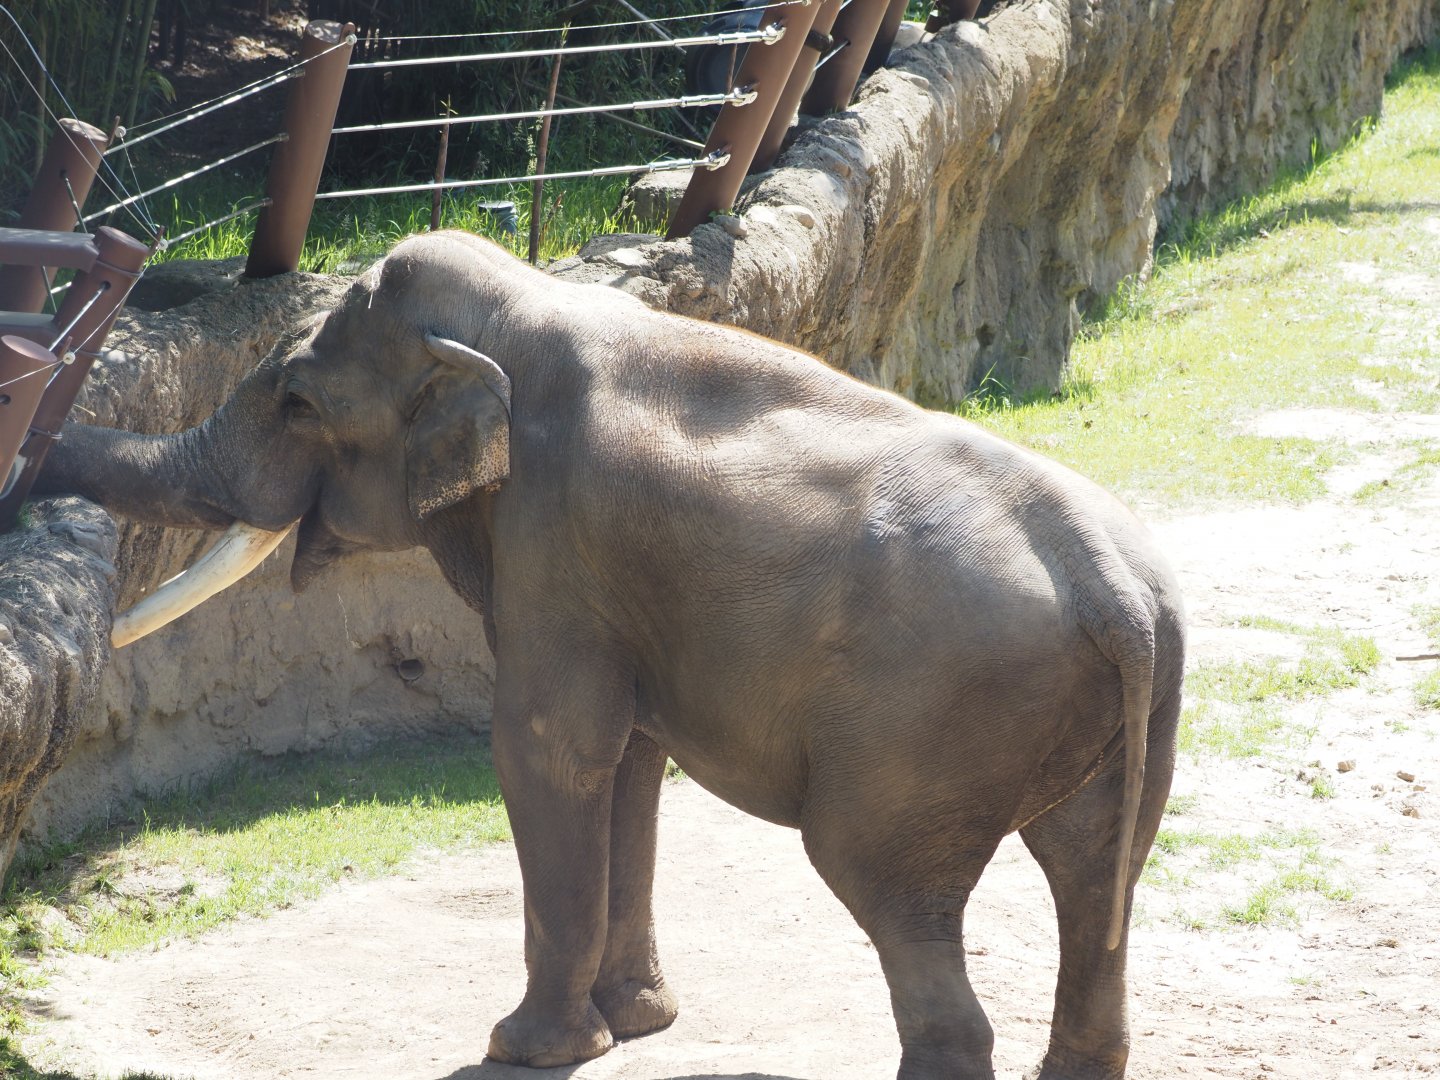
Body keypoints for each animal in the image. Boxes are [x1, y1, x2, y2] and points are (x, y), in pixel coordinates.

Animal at [36, 230, 1185, 1079]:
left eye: (298, 404)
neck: (525, 306)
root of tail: (1111, 586)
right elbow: (630, 755)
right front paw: (638, 1025)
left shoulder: (553, 536)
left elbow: (550, 746)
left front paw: (526, 1049)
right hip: (1127, 710)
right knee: (1098, 879)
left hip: (925, 729)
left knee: (885, 882)